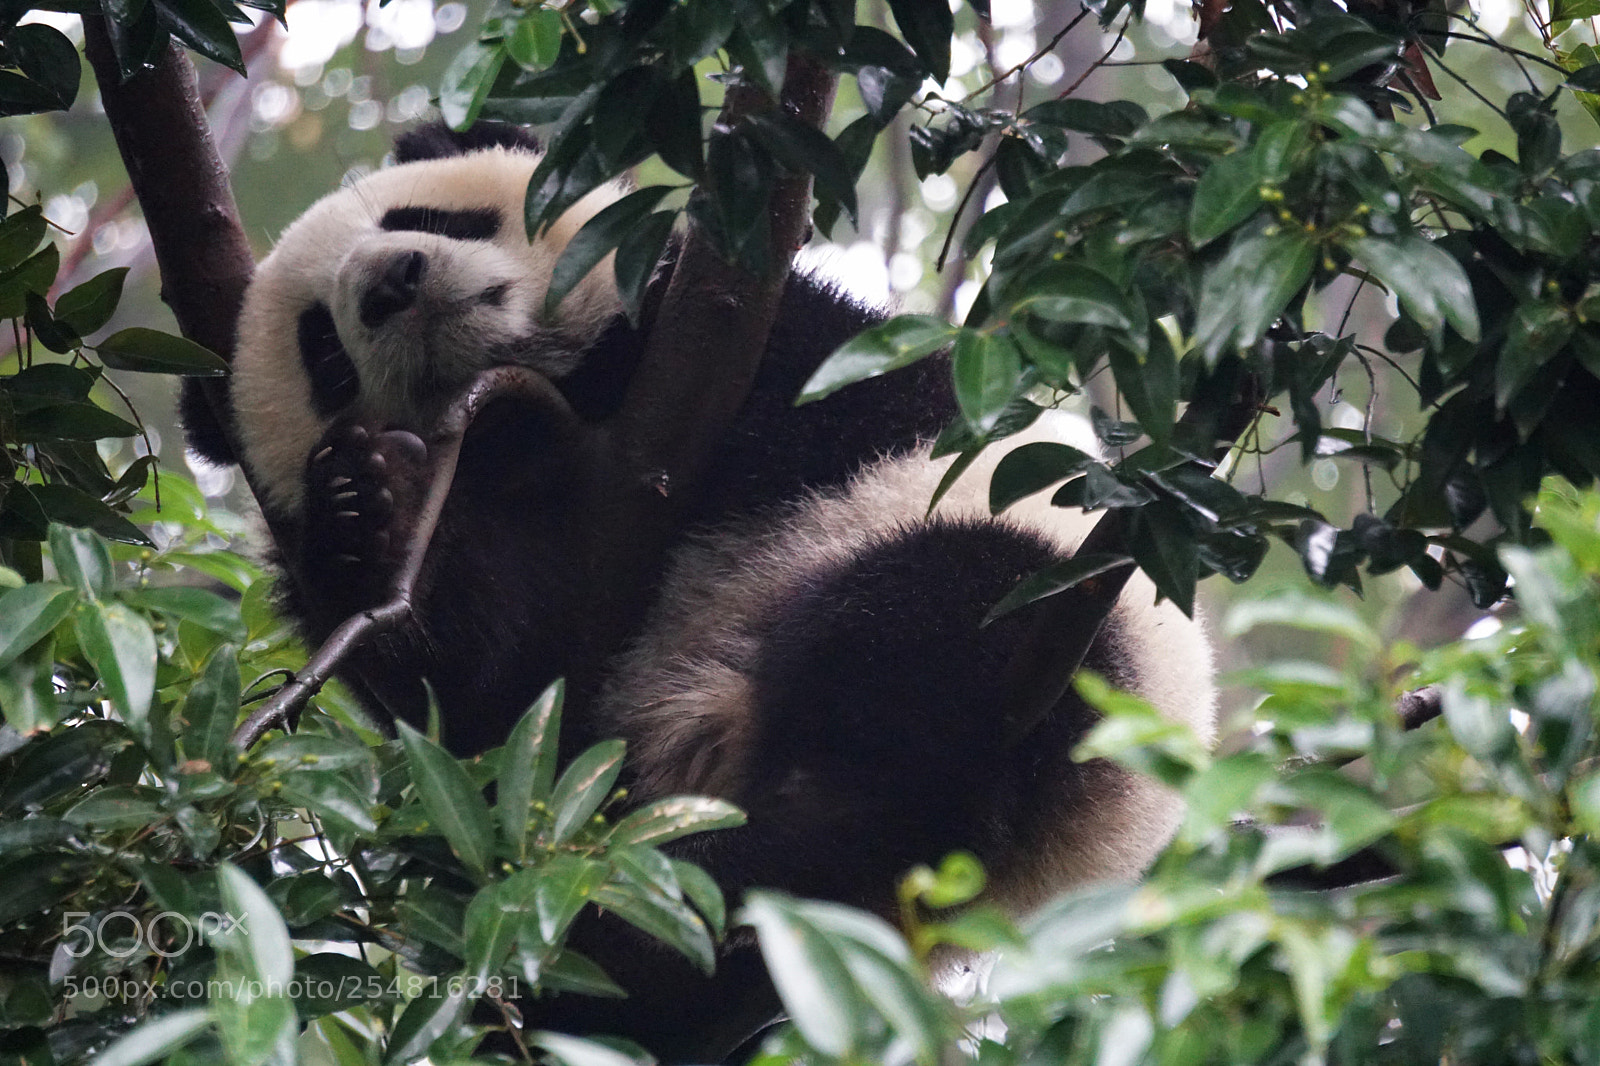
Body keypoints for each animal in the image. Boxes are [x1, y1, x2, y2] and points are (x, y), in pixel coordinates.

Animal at [181, 121, 1216, 1059]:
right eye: (322, 348)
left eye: (427, 217)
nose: (391, 281)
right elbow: (477, 681)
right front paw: (367, 511)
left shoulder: (778, 349)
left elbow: (803, 397)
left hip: (1074, 625)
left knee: (927, 648)